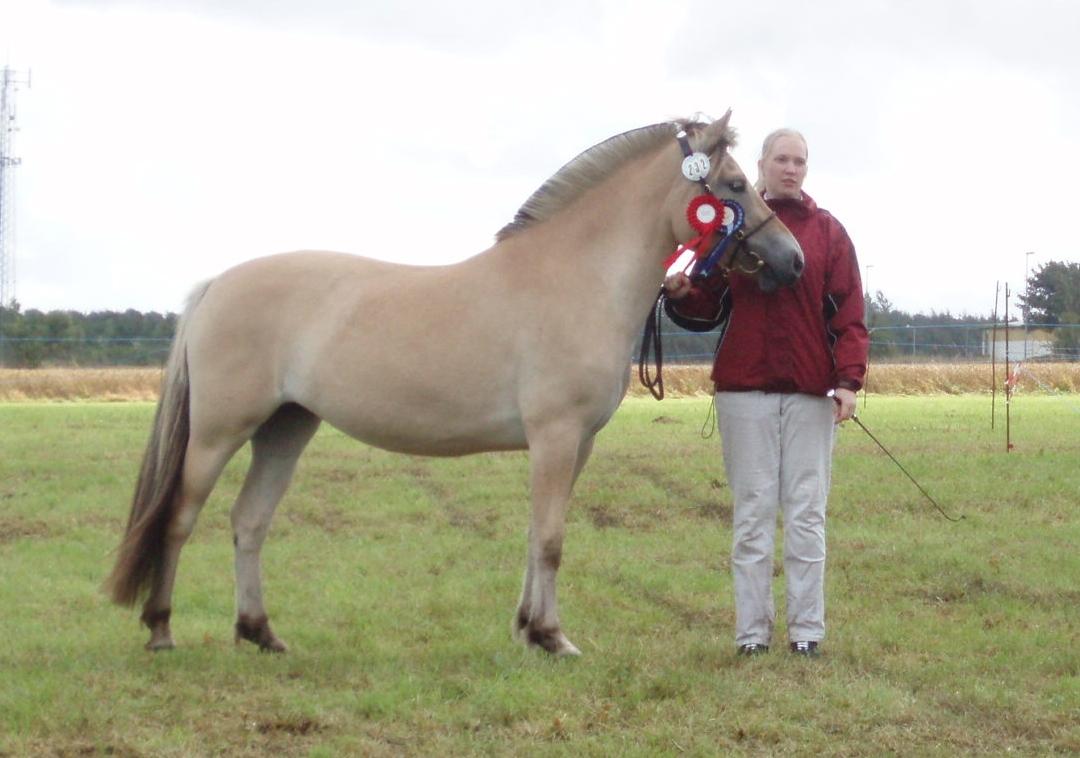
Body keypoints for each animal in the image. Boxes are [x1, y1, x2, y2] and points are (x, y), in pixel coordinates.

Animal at [107, 112, 803, 660]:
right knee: (179, 518)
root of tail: (216, 285)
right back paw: (161, 629)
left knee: (248, 521)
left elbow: (536, 535)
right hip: (219, 432)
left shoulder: (575, 444)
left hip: (286, 427)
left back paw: (261, 633)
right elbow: (552, 539)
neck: (574, 278)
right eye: (734, 185)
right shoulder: (556, 437)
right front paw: (554, 638)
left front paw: (527, 630)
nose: (792, 260)